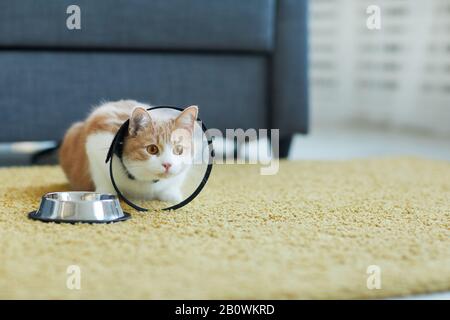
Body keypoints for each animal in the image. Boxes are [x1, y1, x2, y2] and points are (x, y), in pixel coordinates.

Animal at [59, 99, 198, 202]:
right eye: (152, 149)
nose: (167, 164)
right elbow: (102, 178)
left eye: (179, 150)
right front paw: (105, 192)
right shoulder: (95, 144)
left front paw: (171, 193)